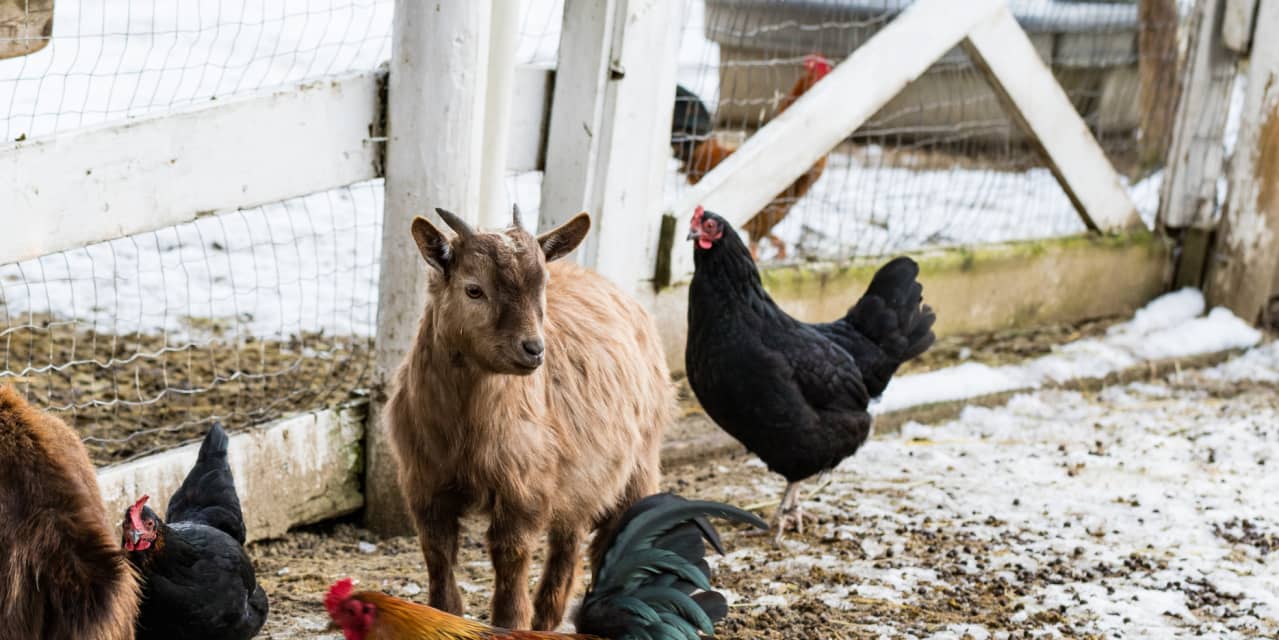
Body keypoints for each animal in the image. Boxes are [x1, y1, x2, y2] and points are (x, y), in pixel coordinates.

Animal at [383, 206, 675, 629]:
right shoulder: (425, 483)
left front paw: (511, 622)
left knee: (605, 536)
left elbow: (511, 555)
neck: (465, 429)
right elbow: (437, 554)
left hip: (637, 463)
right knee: (570, 538)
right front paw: (444, 615)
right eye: (474, 289)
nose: (534, 349)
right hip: (583, 474)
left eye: (543, 287)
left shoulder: (524, 487)